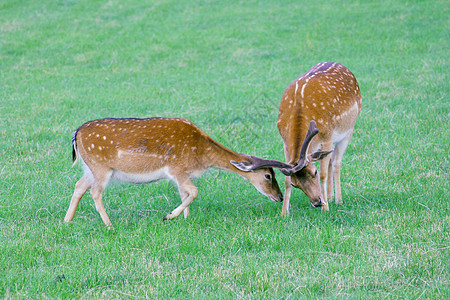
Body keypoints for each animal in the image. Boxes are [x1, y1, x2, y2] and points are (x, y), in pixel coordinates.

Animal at [66, 117, 292, 227]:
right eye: (268, 176)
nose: (279, 197)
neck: (201, 155)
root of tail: (76, 134)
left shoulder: (180, 174)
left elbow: (185, 193)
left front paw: (185, 219)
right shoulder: (176, 168)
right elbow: (194, 191)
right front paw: (169, 216)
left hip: (91, 168)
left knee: (79, 185)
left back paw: (67, 220)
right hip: (101, 167)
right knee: (95, 192)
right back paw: (109, 224)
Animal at [278, 62, 362, 214]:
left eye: (314, 172)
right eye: (295, 184)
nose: (317, 202)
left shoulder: (327, 136)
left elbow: (324, 174)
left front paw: (326, 209)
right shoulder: (285, 142)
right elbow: (286, 180)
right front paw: (284, 213)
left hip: (348, 130)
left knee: (337, 163)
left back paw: (338, 200)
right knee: (331, 160)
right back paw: (330, 196)